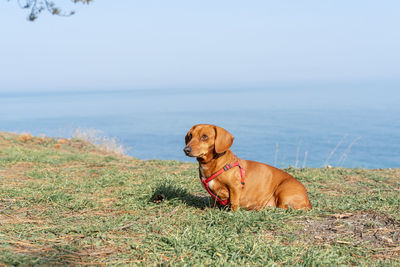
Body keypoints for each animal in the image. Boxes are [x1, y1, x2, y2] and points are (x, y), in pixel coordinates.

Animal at [184, 125, 312, 211]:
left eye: (204, 136)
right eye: (190, 135)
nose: (186, 150)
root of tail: (308, 202)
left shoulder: (235, 187)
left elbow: (234, 202)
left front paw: (232, 212)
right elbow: (214, 200)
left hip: (283, 191)